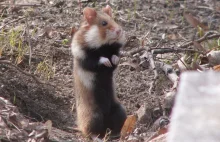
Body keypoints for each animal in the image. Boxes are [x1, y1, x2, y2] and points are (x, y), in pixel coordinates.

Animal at [72, 4, 127, 139]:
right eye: (104, 23)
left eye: (114, 19)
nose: (119, 31)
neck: (103, 45)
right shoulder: (83, 56)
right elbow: (97, 60)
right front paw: (106, 61)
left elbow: (115, 57)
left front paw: (113, 59)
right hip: (94, 116)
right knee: (90, 132)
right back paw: (98, 137)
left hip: (119, 110)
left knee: (115, 126)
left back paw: (116, 134)